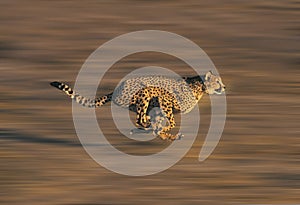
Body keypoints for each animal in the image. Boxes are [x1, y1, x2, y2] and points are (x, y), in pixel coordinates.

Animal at [50, 71, 225, 140]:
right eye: (217, 81)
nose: (224, 87)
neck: (200, 87)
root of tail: (117, 89)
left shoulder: (159, 109)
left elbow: (162, 124)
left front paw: (164, 132)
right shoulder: (165, 99)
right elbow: (171, 122)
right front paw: (164, 130)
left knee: (143, 121)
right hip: (145, 92)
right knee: (140, 120)